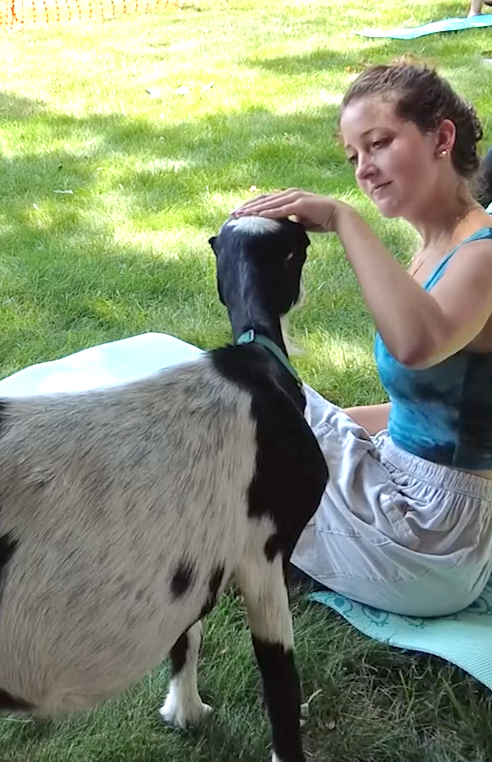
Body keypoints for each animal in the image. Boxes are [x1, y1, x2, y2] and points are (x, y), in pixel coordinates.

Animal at [0, 215, 328, 762]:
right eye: (300, 247)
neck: (256, 366)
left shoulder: (198, 554)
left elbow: (186, 636)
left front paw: (185, 711)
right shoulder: (262, 554)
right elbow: (280, 681)